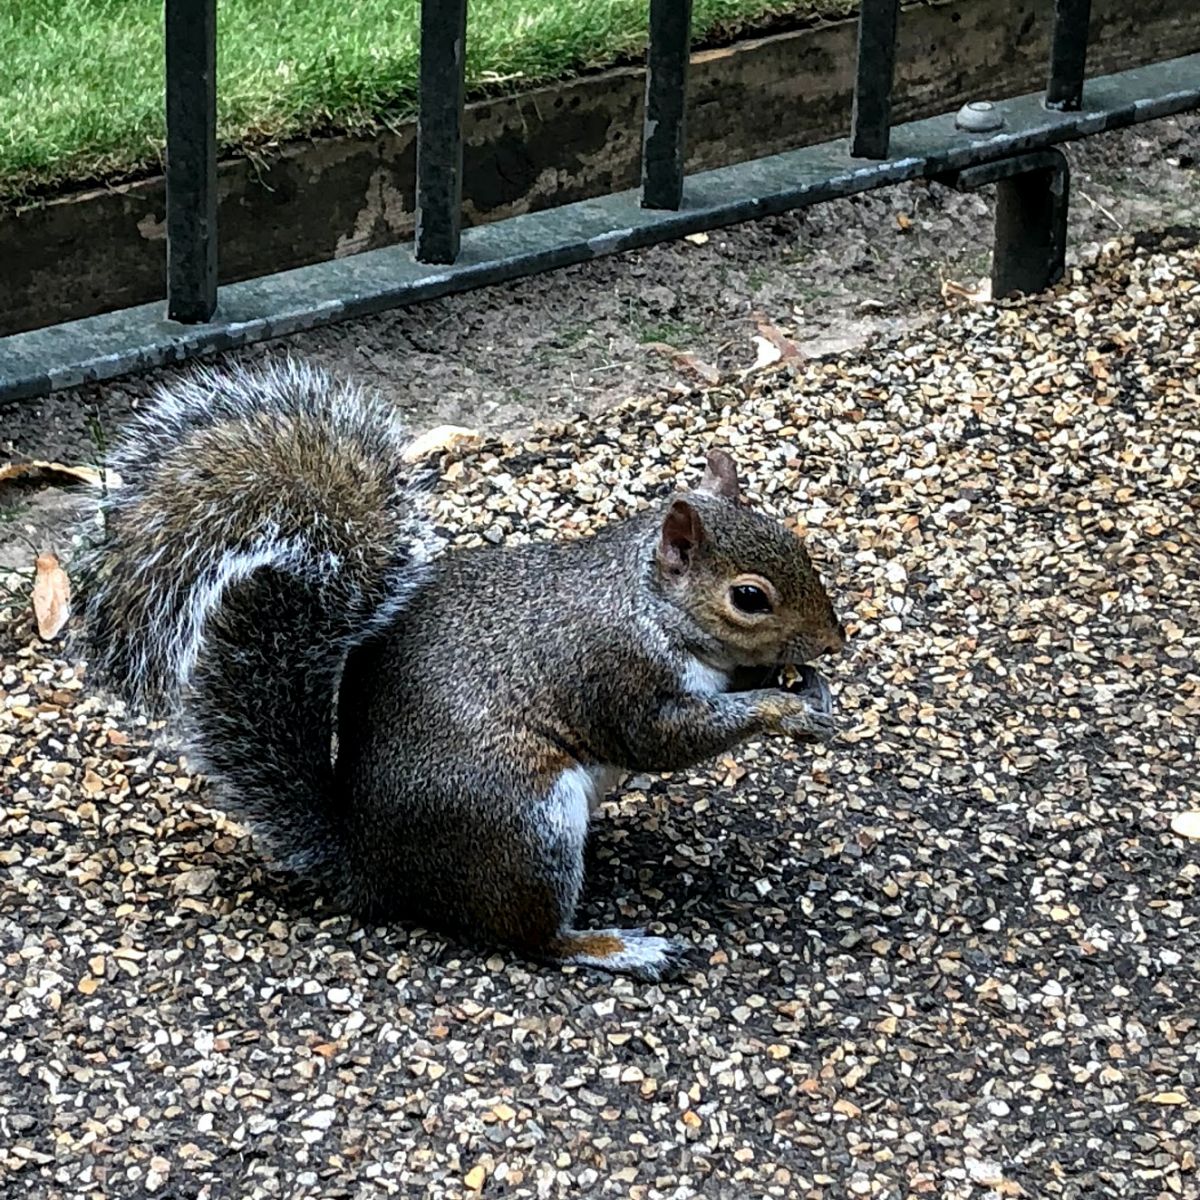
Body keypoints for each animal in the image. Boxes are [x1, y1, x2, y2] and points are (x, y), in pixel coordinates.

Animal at [79, 360, 849, 979]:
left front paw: (807, 690)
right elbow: (663, 740)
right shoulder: (617, 673)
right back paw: (613, 947)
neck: (649, 601)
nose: (835, 641)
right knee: (531, 938)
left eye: (797, 543)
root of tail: (374, 869)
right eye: (749, 597)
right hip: (527, 824)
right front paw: (783, 711)